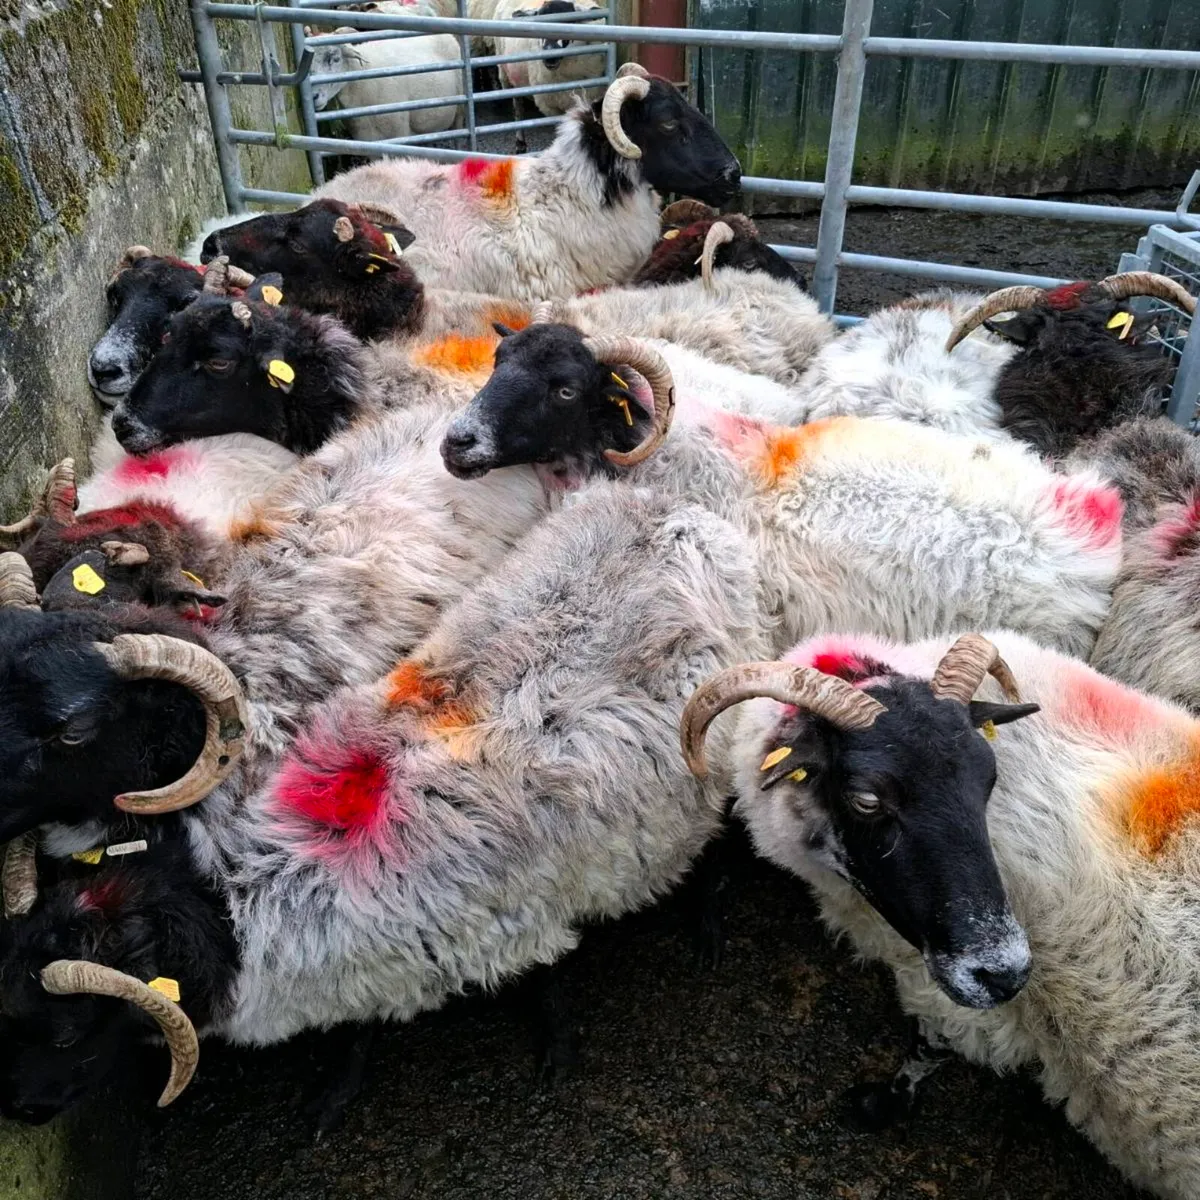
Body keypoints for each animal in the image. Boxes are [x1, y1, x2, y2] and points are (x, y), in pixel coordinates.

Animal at [0, 480, 766, 1115]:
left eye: (67, 1035)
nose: (20, 1111)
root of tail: (672, 509)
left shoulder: (521, 923)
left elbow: (531, 988)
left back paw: (707, 923)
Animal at [684, 628, 1200, 1200]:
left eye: (988, 777)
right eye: (866, 799)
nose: (1005, 973)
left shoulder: (945, 987)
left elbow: (927, 1046)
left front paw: (882, 1105)